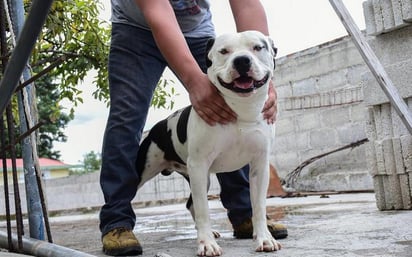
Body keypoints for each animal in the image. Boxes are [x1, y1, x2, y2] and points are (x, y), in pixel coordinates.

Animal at [135, 30, 280, 254]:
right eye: (224, 51)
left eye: (258, 47)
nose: (242, 60)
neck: (241, 109)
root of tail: (156, 127)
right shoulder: (199, 164)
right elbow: (204, 209)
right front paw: (206, 244)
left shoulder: (259, 166)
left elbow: (259, 207)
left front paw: (264, 238)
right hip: (148, 172)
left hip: (197, 174)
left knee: (190, 204)